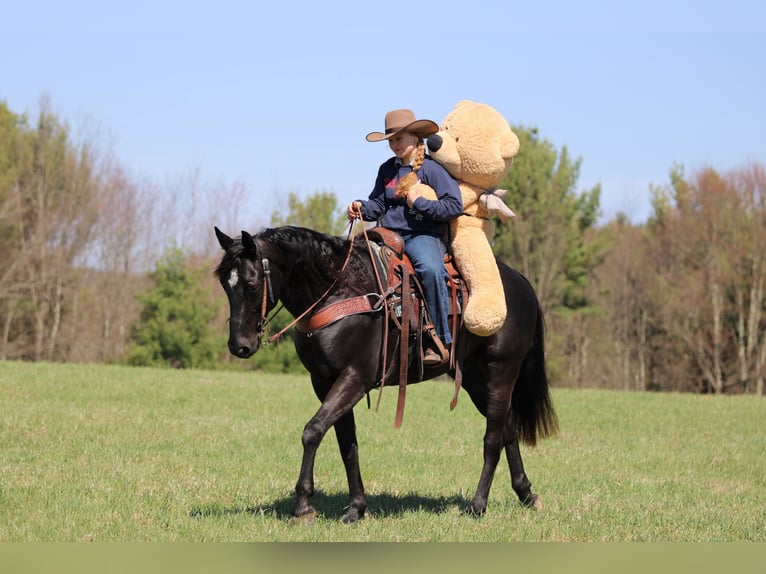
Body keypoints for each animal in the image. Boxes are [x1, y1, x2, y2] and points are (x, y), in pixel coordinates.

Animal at [214, 224, 558, 523]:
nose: (239, 346)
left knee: (493, 436)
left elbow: (312, 431)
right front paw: (356, 508)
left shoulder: (354, 378)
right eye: (225, 285)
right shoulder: (325, 382)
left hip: (501, 370)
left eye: (252, 284)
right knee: (507, 428)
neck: (336, 291)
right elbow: (346, 443)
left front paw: (303, 507)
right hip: (474, 378)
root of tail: (521, 283)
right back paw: (527, 494)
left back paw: (478, 505)